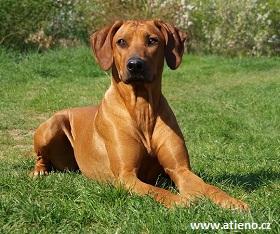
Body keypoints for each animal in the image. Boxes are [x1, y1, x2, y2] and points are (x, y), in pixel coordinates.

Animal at [30, 20, 247, 210]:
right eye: (121, 42)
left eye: (152, 40)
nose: (135, 65)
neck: (142, 109)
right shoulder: (126, 175)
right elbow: (157, 191)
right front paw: (181, 200)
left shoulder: (180, 169)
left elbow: (207, 186)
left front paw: (230, 201)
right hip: (51, 126)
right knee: (41, 157)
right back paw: (39, 172)